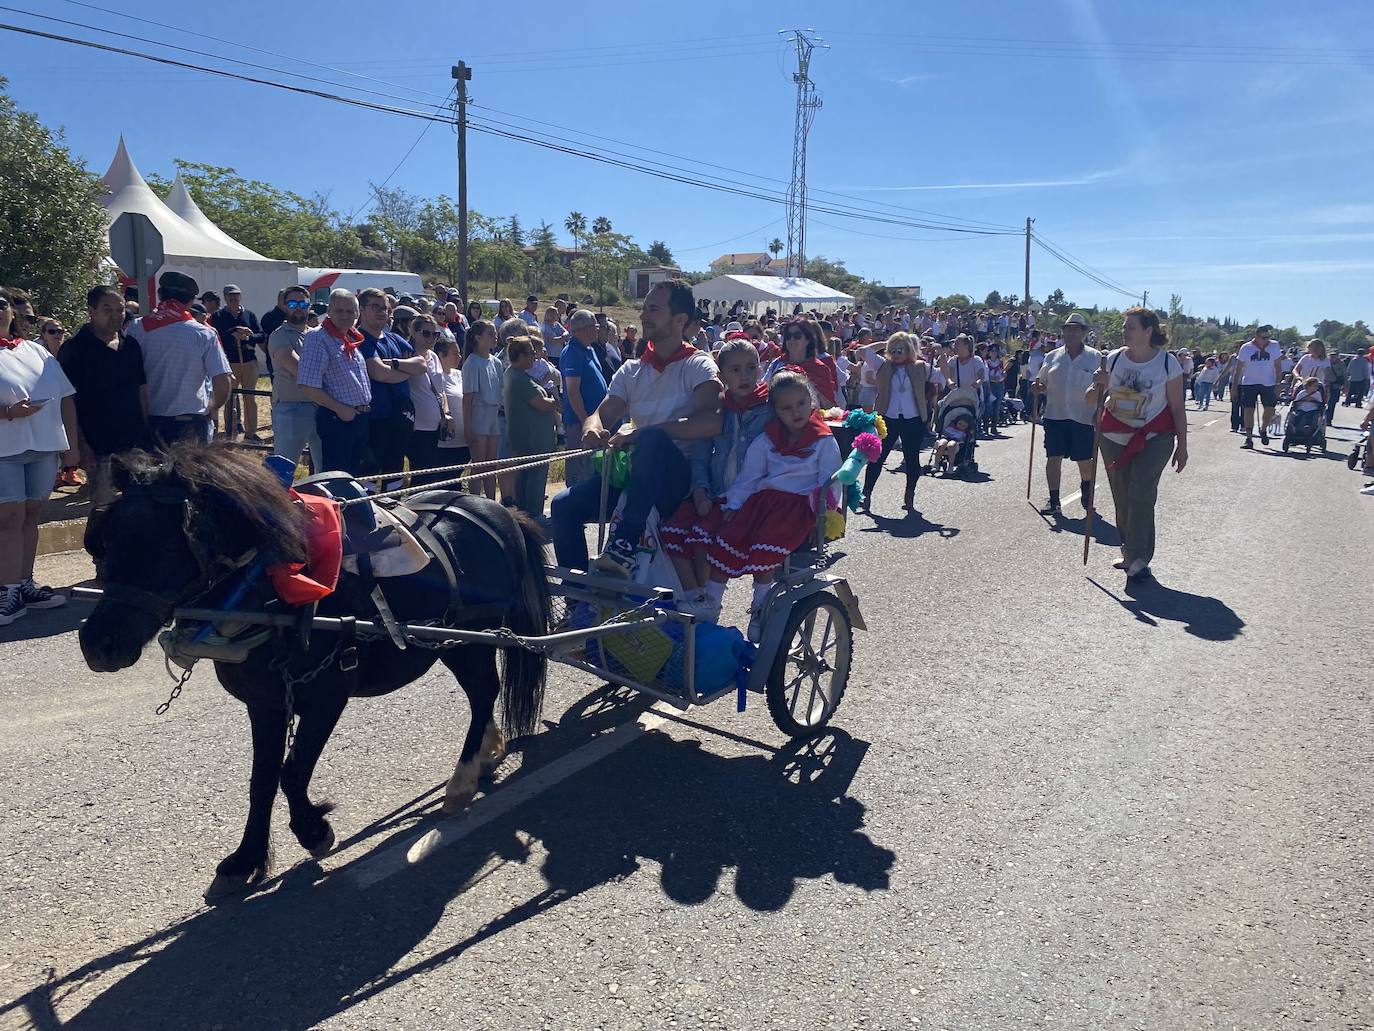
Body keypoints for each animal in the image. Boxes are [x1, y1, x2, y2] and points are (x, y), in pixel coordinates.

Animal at [80, 445, 549, 896]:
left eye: (163, 546)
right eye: (104, 542)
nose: (98, 645)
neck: (270, 589)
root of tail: (495, 510)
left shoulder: (326, 698)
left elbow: (291, 773)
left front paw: (313, 831)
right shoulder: (266, 704)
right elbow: (262, 781)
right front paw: (244, 861)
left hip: (470, 639)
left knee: (484, 691)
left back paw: (462, 781)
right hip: (456, 642)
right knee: (481, 695)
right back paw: (487, 752)